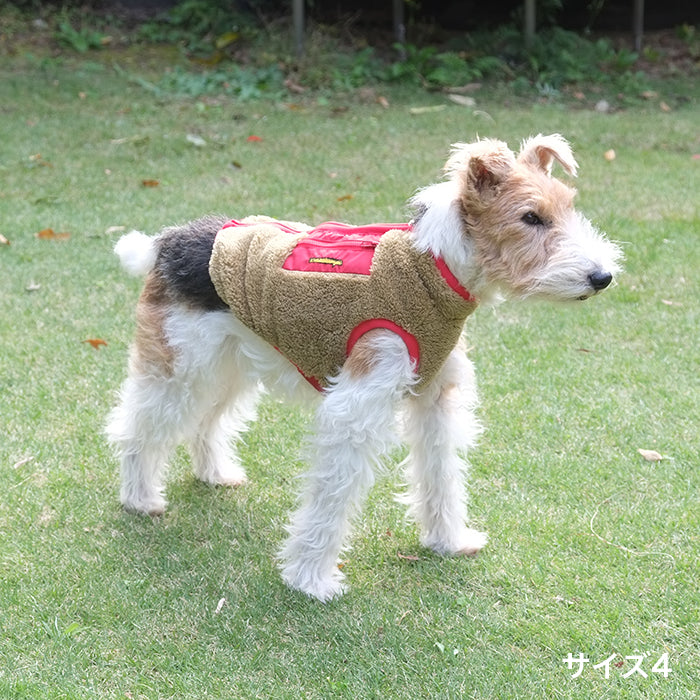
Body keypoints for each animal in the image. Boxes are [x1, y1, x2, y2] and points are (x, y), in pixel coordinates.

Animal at [107, 134, 622, 601]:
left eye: (568, 207)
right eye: (531, 217)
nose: (602, 277)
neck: (433, 271)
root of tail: (168, 240)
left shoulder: (436, 400)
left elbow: (441, 473)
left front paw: (449, 541)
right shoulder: (356, 409)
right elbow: (332, 494)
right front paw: (311, 579)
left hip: (230, 366)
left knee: (206, 423)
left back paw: (216, 473)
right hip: (181, 368)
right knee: (137, 429)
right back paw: (140, 498)